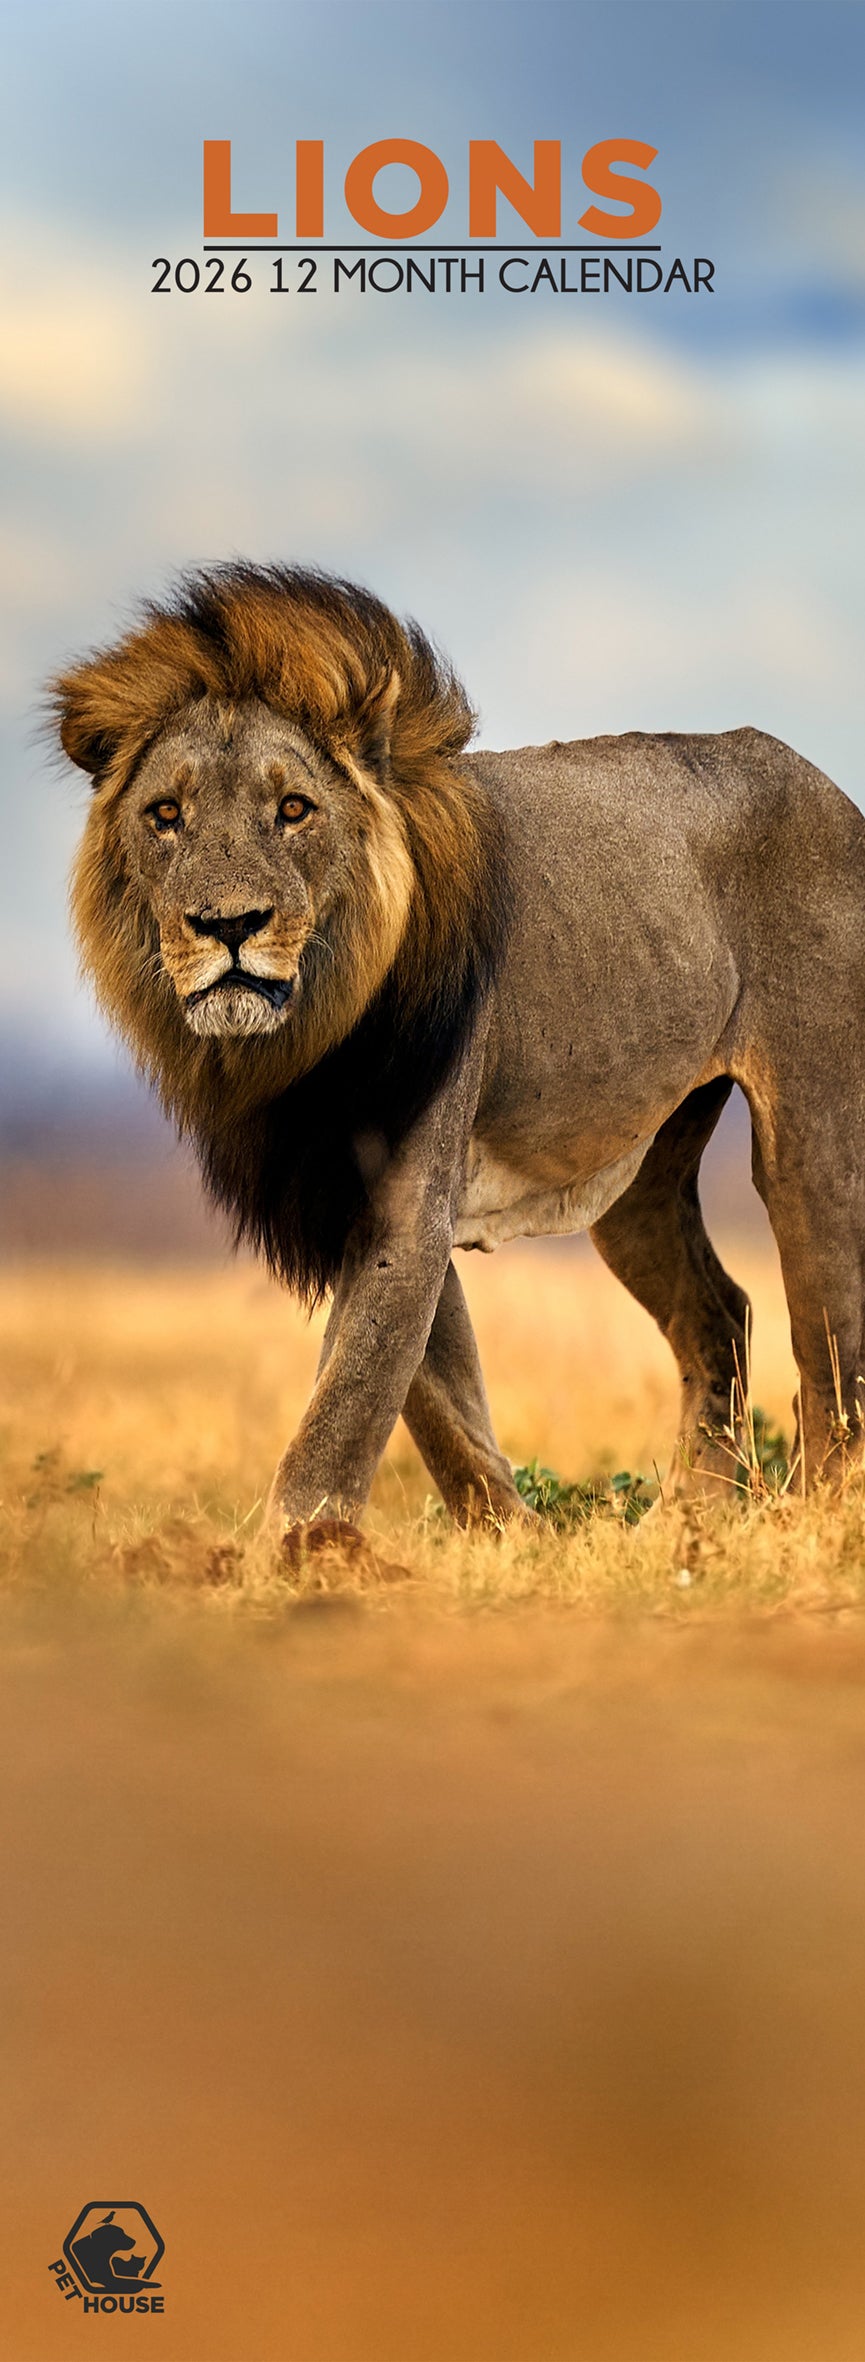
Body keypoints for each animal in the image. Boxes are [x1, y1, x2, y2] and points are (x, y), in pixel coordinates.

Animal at [51, 563, 865, 1541]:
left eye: (294, 810)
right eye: (165, 815)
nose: (229, 924)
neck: (293, 1044)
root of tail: (822, 782)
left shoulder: (405, 1205)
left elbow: (352, 1393)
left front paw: (302, 1550)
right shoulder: (348, 1198)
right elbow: (428, 1390)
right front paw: (507, 1533)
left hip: (812, 1140)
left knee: (830, 1348)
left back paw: (816, 1515)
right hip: (637, 1178)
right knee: (718, 1312)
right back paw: (689, 1518)